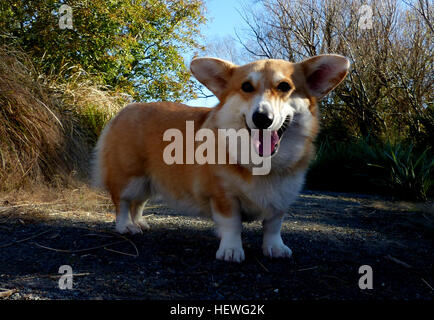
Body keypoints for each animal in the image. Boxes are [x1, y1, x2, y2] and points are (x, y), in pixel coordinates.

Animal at [92, 55, 350, 262]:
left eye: (284, 86)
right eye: (246, 87)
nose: (262, 118)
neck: (262, 164)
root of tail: (124, 110)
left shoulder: (281, 196)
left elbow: (273, 226)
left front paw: (275, 248)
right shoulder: (223, 196)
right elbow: (231, 224)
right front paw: (231, 250)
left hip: (149, 182)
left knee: (138, 204)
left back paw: (139, 222)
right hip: (130, 177)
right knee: (123, 203)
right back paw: (126, 227)